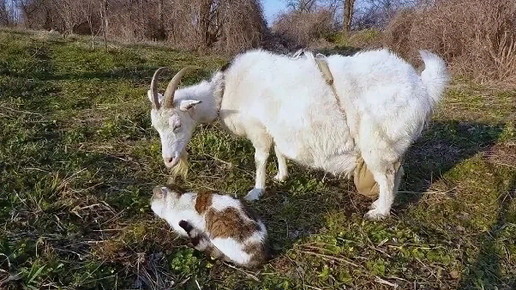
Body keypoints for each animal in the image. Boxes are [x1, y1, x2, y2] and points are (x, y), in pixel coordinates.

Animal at [147, 48, 450, 219]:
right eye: (156, 127)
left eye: (177, 124)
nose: (169, 160)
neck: (226, 90)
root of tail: (422, 86)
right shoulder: (276, 129)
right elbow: (280, 151)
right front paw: (281, 176)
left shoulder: (259, 129)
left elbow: (260, 158)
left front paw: (256, 191)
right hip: (391, 144)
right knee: (395, 173)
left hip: (377, 143)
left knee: (386, 176)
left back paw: (379, 213)